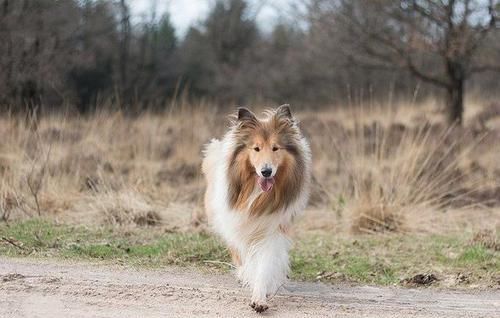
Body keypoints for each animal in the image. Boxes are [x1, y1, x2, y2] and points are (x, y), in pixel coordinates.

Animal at [201, 105, 310, 314]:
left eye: (275, 148)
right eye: (256, 148)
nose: (266, 171)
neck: (257, 195)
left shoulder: (273, 230)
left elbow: (264, 266)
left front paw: (260, 298)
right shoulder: (236, 224)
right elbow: (247, 259)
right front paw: (248, 277)